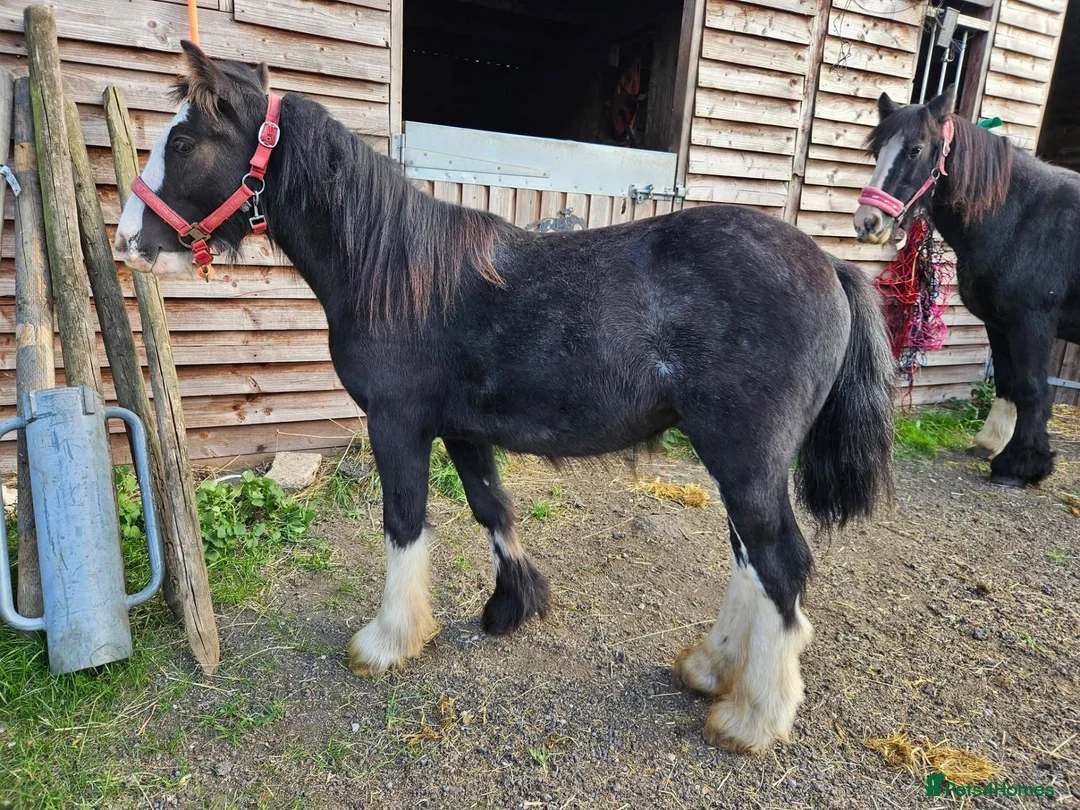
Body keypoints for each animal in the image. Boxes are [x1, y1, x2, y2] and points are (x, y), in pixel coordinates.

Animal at [114, 43, 894, 753]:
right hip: (734, 460)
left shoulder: (397, 425)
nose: (127, 242)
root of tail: (830, 264)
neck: (395, 271)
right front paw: (512, 606)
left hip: (744, 457)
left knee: (780, 564)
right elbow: (493, 509)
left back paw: (754, 717)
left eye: (182, 142)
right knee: (748, 559)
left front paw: (387, 640)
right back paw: (711, 667)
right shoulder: (463, 430)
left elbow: (404, 523)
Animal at [854, 88, 1080, 487]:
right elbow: (1007, 381)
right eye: (877, 150)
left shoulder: (1033, 324)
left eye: (915, 149)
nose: (868, 222)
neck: (1019, 217)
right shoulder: (999, 322)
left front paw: (1019, 466)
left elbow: (1032, 388)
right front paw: (991, 444)